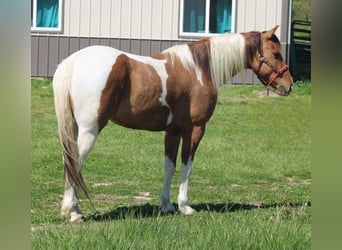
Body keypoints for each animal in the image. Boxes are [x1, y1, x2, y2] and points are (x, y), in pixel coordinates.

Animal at [52, 24, 292, 221]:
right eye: (276, 54)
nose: (289, 86)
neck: (198, 69)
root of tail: (73, 62)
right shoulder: (195, 129)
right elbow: (187, 165)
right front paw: (185, 206)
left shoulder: (173, 131)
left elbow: (170, 166)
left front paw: (166, 205)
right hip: (90, 130)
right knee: (75, 163)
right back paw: (72, 212)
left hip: (75, 128)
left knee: (69, 162)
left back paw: (75, 209)